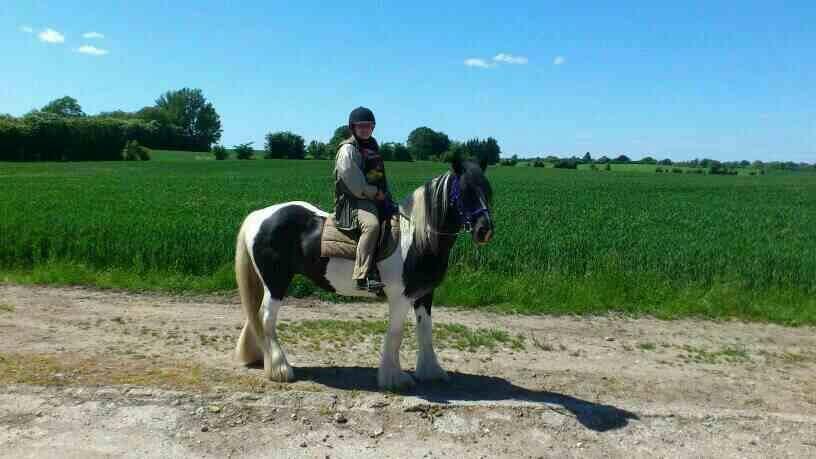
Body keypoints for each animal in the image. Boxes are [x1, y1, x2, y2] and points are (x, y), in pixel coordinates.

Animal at [233, 157, 494, 388]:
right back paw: (280, 369)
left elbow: (425, 330)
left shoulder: (423, 295)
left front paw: (431, 372)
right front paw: (394, 378)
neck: (418, 238)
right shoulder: (400, 297)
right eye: (465, 191)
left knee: (256, 315)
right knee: (266, 317)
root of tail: (259, 216)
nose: (485, 230)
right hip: (276, 282)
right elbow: (396, 334)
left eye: (487, 190)